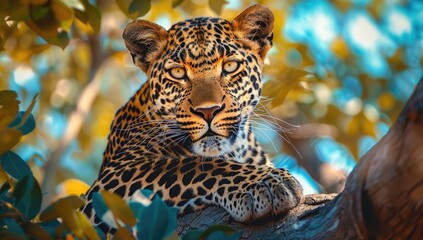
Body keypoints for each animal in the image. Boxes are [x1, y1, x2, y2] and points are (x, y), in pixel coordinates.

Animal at [81, 4, 304, 234]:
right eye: (178, 72)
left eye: (230, 66)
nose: (208, 111)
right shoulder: (106, 186)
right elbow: (193, 165)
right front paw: (265, 183)